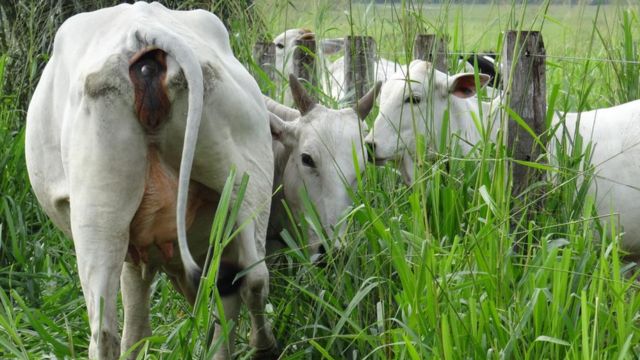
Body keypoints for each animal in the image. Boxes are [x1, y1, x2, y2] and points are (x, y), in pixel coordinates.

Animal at [25, 2, 278, 358]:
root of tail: (143, 33)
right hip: (247, 179)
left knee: (103, 330)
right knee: (254, 276)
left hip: (98, 214)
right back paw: (262, 345)